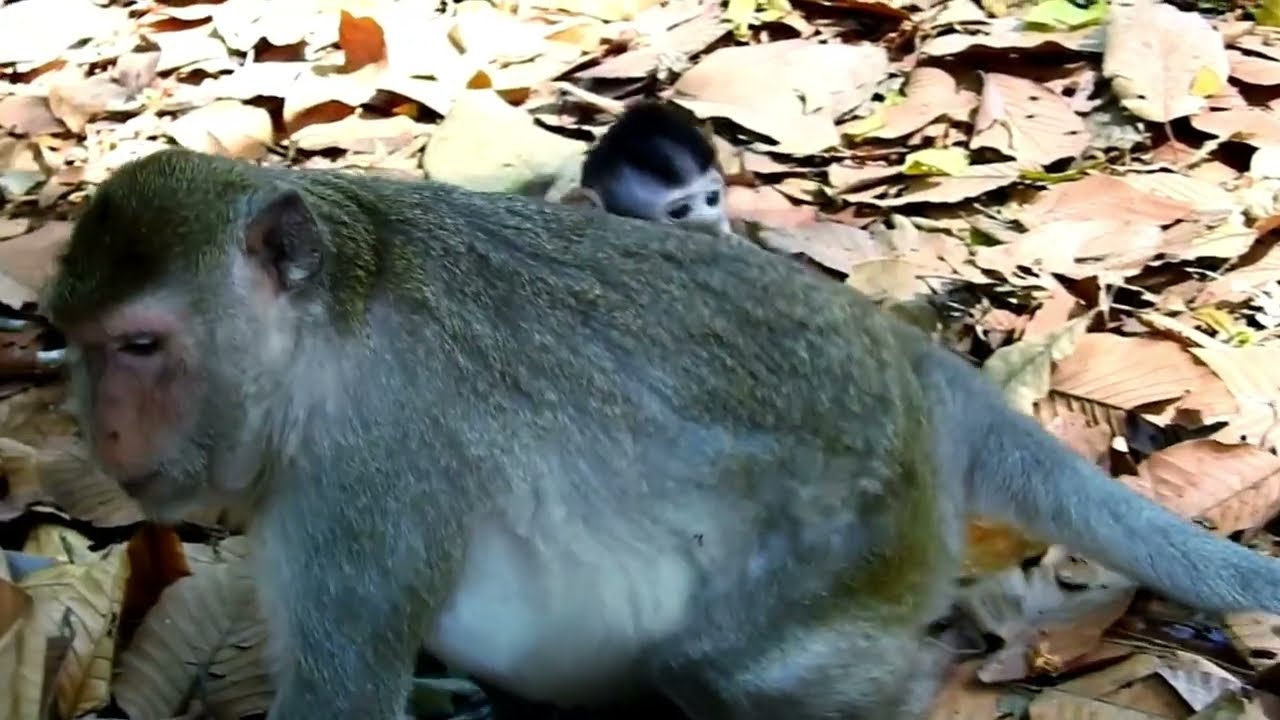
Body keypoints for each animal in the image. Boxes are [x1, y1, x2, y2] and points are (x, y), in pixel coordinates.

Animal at [44, 147, 1280, 720]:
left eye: (141, 347)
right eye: (78, 342)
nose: (100, 429)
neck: (330, 327)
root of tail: (905, 361)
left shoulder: (367, 474)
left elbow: (339, 700)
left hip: (863, 531)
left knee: (728, 665)